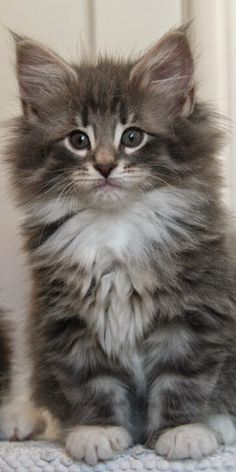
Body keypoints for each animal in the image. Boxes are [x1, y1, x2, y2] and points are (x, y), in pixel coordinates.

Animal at [1, 26, 236, 464]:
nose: (106, 165)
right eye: (78, 140)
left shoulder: (195, 310)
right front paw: (97, 431)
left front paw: (182, 430)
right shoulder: (67, 319)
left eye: (132, 136)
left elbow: (184, 376)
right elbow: (91, 381)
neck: (115, 227)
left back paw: (218, 423)